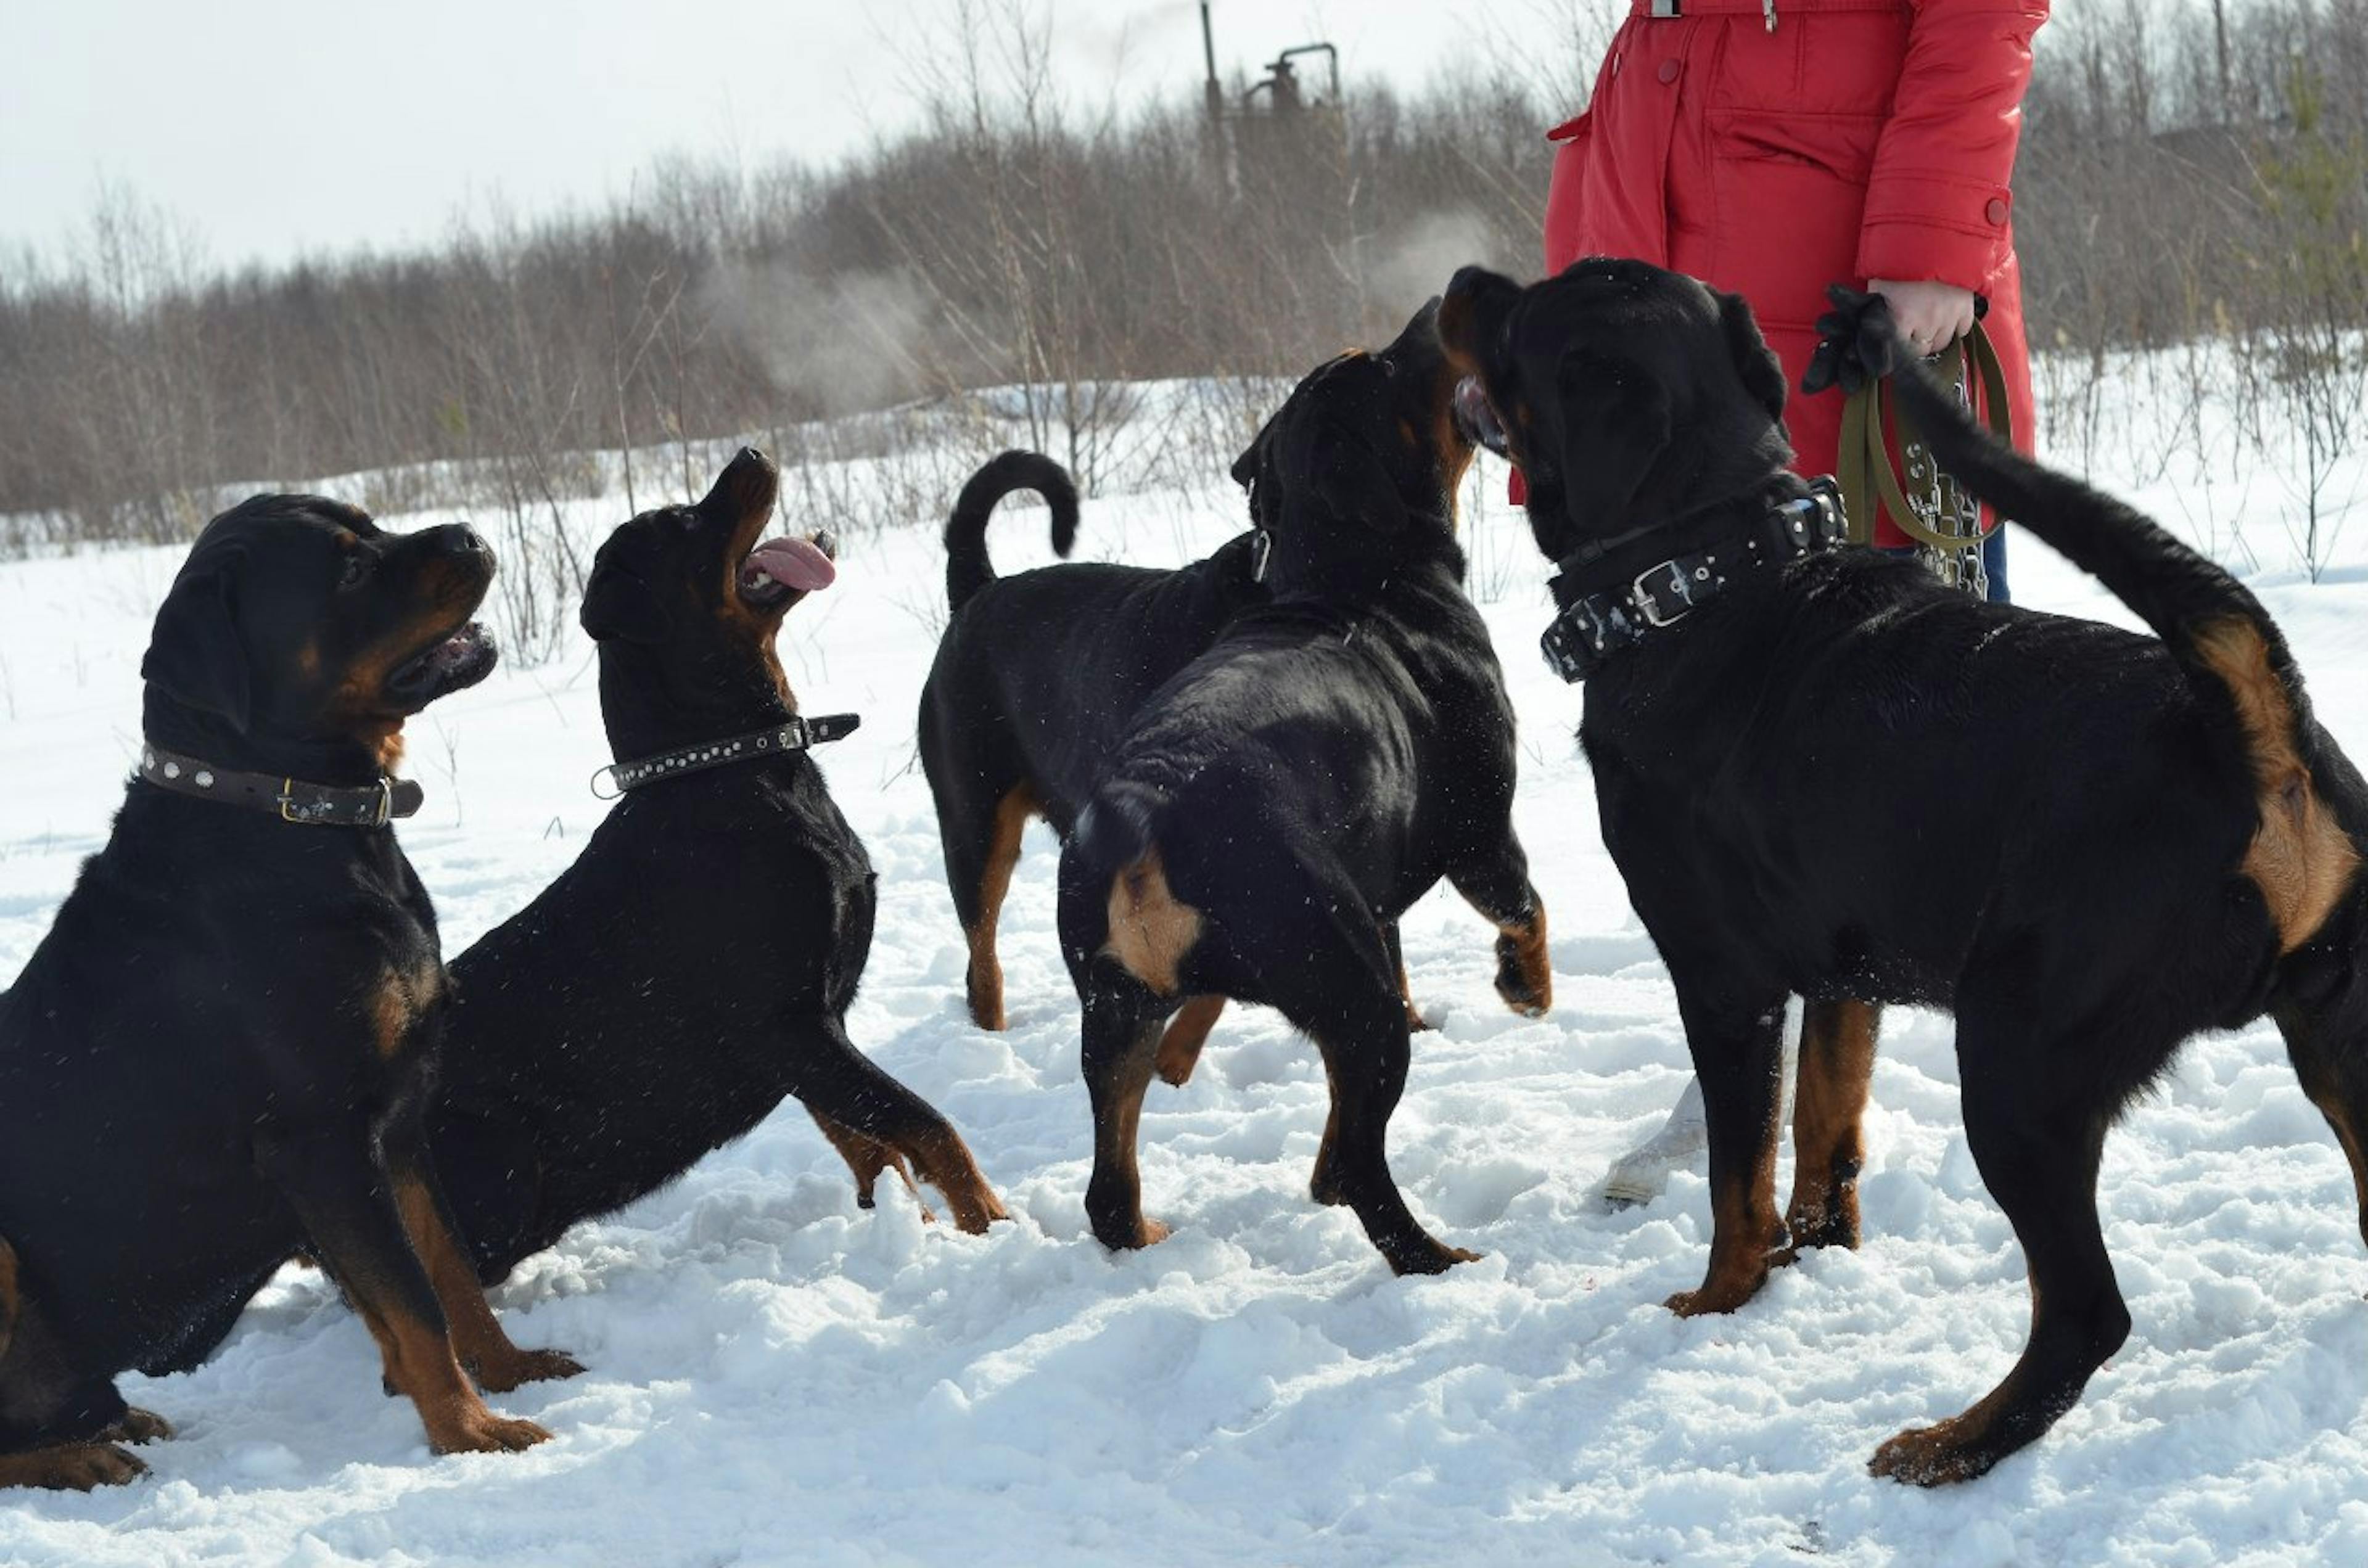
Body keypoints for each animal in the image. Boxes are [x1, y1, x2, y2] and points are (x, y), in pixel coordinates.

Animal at [0, 497, 563, 1496]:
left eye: (372, 526)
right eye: (347, 570)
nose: (468, 534)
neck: (290, 816)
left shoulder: (400, 1124)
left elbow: (450, 1270)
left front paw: (505, 1372)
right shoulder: (321, 1136)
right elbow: (414, 1300)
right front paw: (472, 1432)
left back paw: (115, 1421)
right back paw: (84, 1453)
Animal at [421, 452, 1004, 1288]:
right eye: (685, 523)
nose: (750, 456)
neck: (734, 766)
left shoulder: (811, 1033)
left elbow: (872, 1147)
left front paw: (915, 1228)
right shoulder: (790, 1024)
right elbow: (927, 1123)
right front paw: (993, 1223)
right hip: (498, 1171)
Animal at [1056, 300, 1553, 1288]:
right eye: (1392, 364)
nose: (1434, 307)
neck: (1354, 570)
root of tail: (1146, 807)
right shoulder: (1483, 832)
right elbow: (1526, 907)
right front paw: (1528, 987)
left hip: (1117, 1011)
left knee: (1110, 1181)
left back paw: (1148, 1230)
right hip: (1347, 985)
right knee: (1362, 1160)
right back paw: (1437, 1258)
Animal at [1430, 258, 2368, 1487]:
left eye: (1527, 313)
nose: (1461, 278)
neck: (1704, 576)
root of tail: (2251, 732)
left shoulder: (1725, 983)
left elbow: (1739, 1175)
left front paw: (1718, 1303)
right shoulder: (1845, 975)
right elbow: (1824, 1135)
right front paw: (1819, 1253)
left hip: (2019, 1063)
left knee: (2086, 1311)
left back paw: (1953, 1443)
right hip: (2337, 1036)